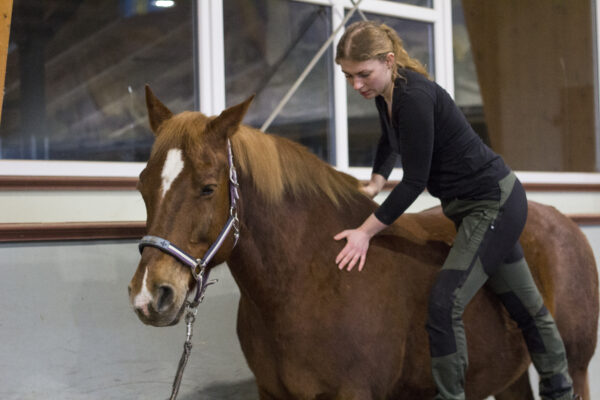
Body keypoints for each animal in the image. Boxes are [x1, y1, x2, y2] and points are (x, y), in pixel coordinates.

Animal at [129, 86, 596, 398]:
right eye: (143, 184)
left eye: (208, 188)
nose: (151, 295)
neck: (308, 276)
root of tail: (567, 225)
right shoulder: (272, 392)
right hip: (510, 376)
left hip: (575, 365)